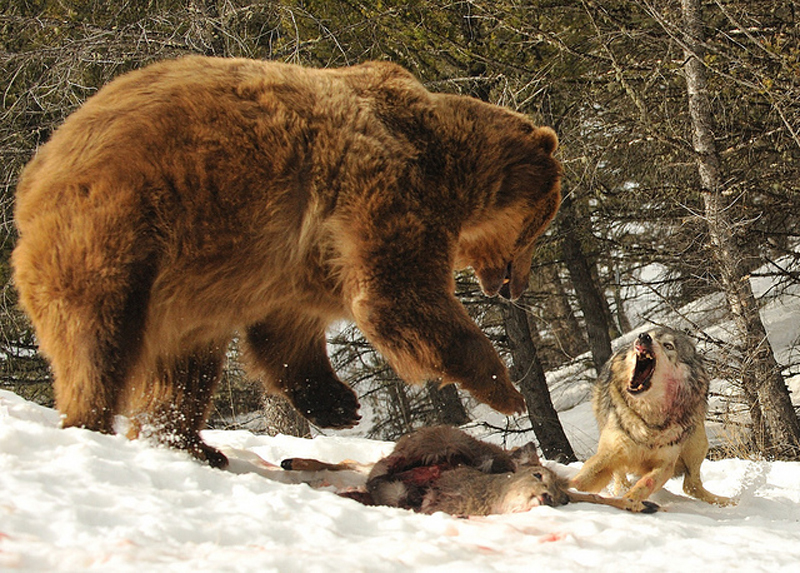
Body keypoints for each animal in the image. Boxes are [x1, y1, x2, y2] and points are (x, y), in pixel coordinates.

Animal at [14, 57, 564, 464]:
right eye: (539, 226)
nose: (513, 286)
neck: (450, 166)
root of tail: (35, 173)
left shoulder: (295, 260)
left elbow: (287, 330)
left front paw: (339, 404)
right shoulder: (385, 190)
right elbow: (398, 297)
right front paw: (506, 388)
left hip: (186, 282)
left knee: (184, 366)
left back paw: (189, 443)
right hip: (122, 226)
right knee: (98, 337)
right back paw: (93, 423)